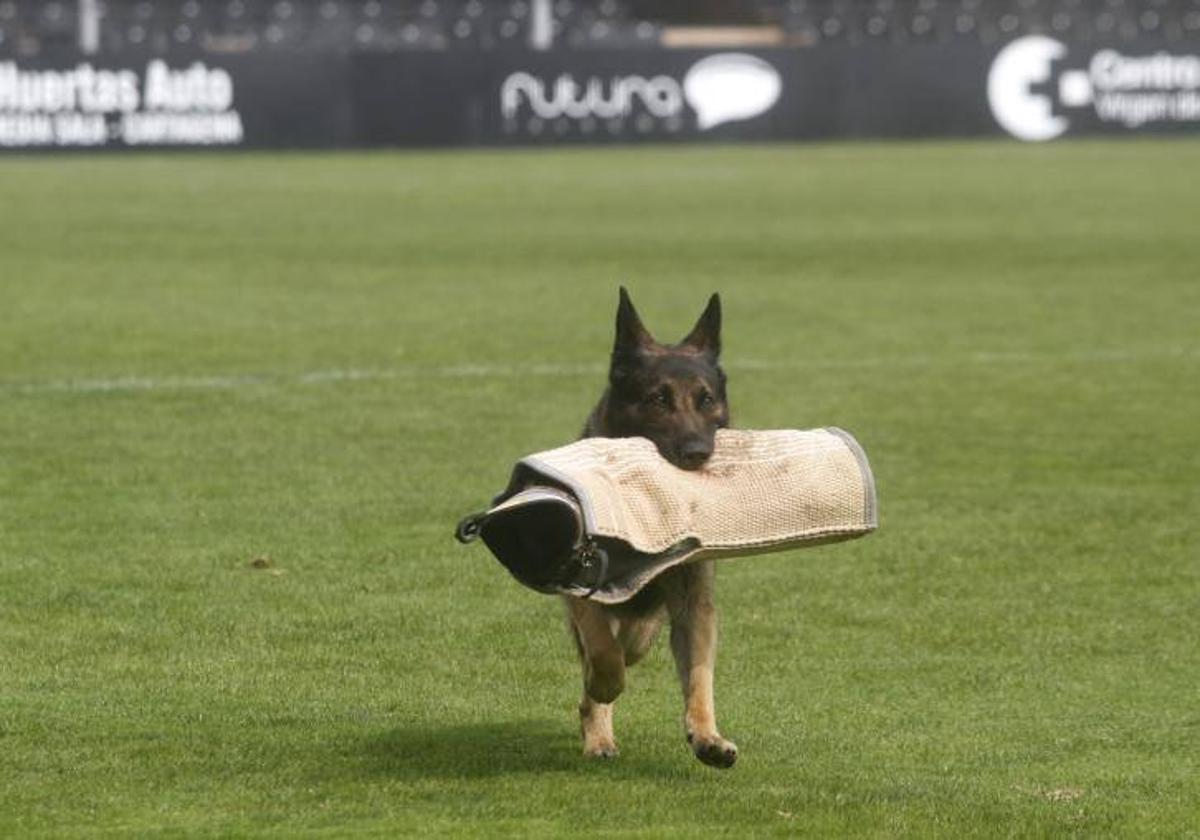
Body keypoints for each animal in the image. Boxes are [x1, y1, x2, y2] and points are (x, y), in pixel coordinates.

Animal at [566, 289, 734, 768]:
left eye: (706, 400)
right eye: (658, 399)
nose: (697, 453)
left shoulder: (694, 605)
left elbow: (699, 676)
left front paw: (707, 736)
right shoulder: (580, 587)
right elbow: (602, 652)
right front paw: (602, 683)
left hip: (649, 623)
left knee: (633, 644)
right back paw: (598, 733)